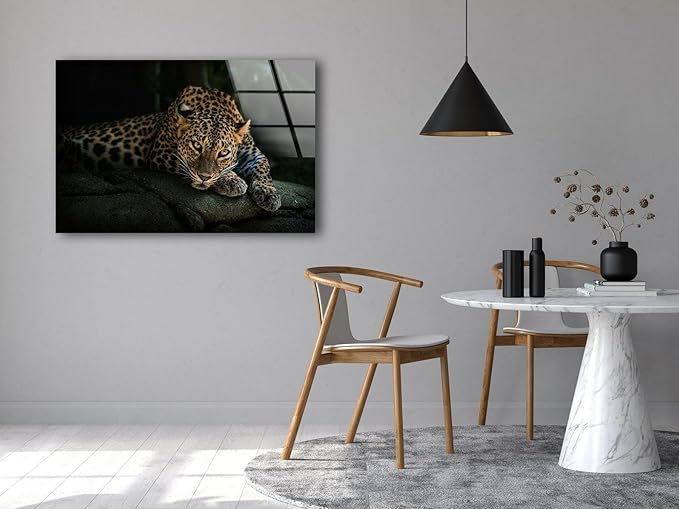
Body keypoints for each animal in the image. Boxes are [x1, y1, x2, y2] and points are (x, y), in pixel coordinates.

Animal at [58, 85, 281, 212]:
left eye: (223, 153)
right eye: (196, 146)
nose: (204, 178)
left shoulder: (252, 153)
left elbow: (264, 167)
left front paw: (269, 193)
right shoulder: (161, 152)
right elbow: (187, 165)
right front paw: (232, 180)